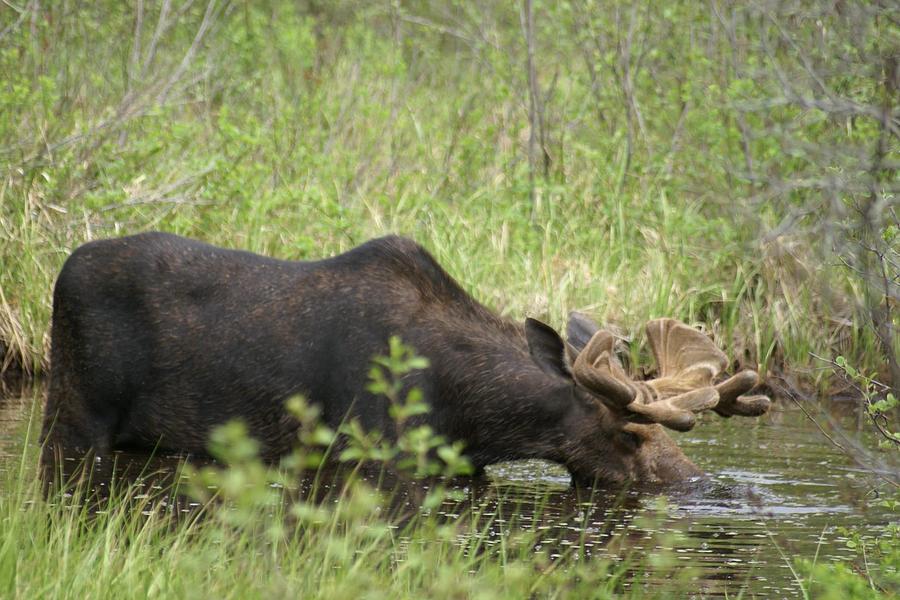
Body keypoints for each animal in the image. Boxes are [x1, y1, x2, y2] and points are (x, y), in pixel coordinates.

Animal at [42, 232, 768, 486]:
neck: (478, 416)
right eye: (627, 434)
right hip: (73, 417)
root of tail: (59, 273)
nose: (706, 487)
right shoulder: (369, 453)